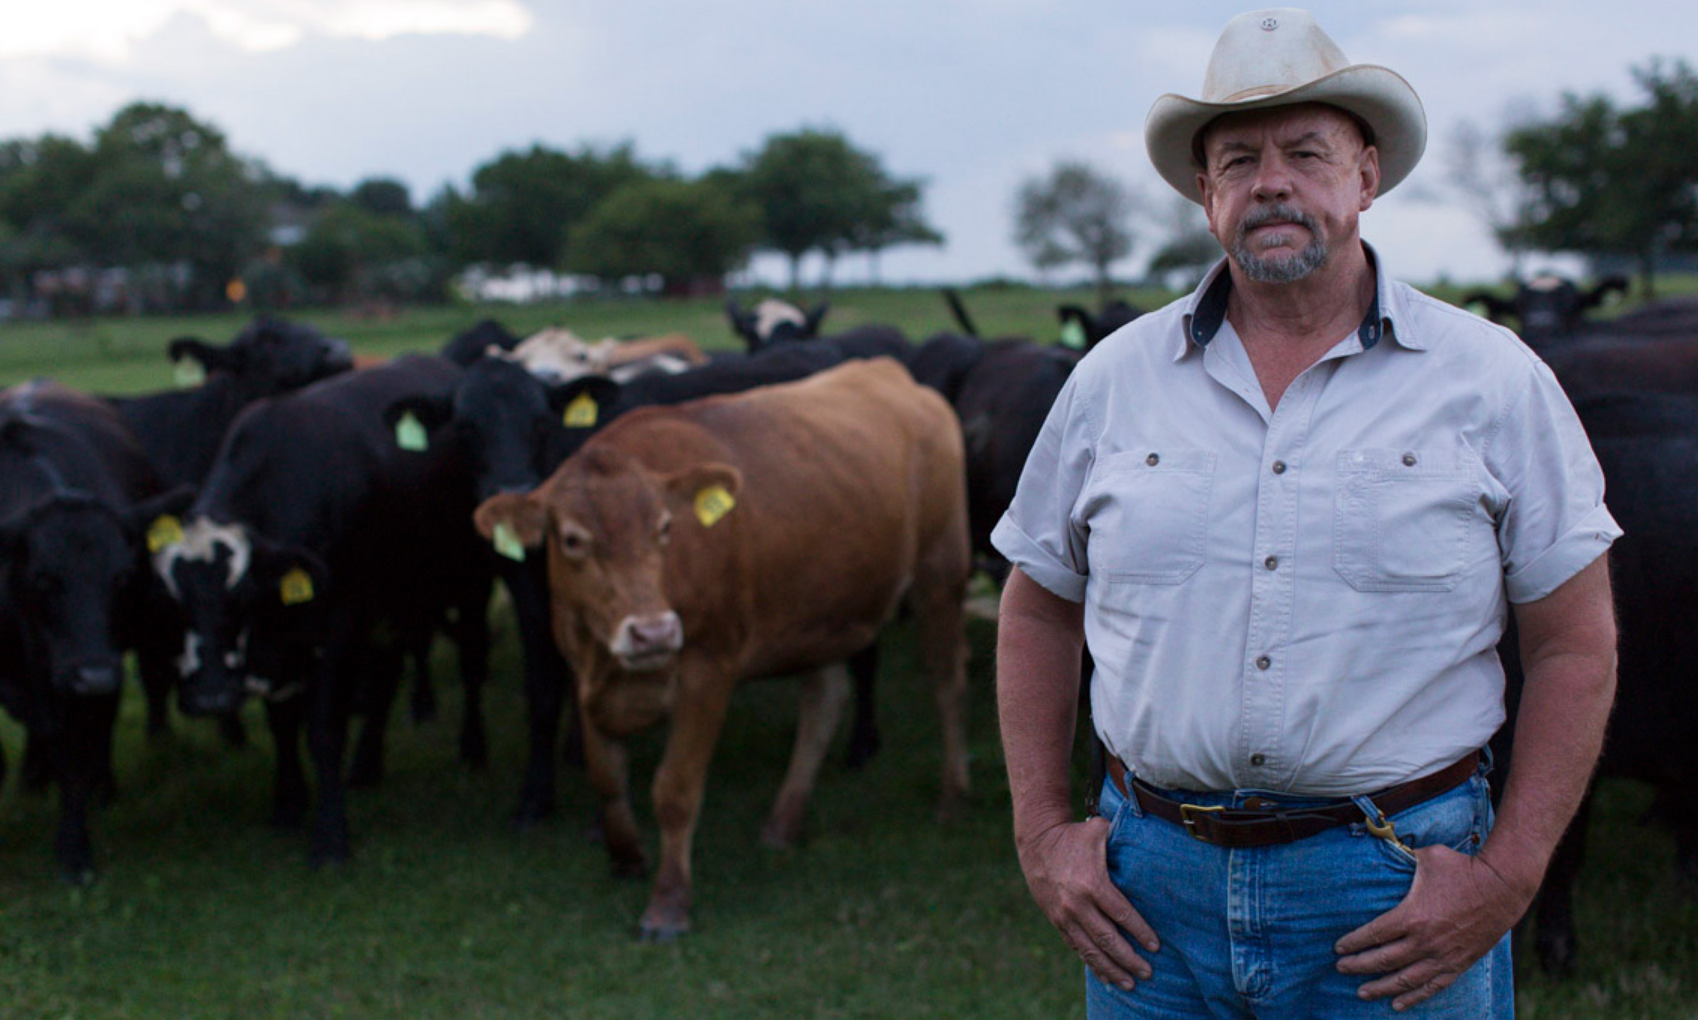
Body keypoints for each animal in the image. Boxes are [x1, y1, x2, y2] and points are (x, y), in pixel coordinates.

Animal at [148, 354, 495, 862]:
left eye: (242, 595)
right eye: (173, 603)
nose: (210, 695)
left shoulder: (338, 628)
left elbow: (323, 727)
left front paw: (331, 837)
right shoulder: (282, 647)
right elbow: (282, 725)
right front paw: (288, 803)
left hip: (467, 585)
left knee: (470, 662)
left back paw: (472, 748)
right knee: (387, 675)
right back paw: (367, 765)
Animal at [475, 358, 971, 936]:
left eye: (665, 527)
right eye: (572, 539)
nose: (653, 632)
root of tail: (891, 373)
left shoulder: (708, 671)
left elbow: (675, 790)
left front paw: (668, 902)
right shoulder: (583, 673)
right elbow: (607, 780)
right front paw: (626, 857)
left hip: (940, 572)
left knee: (947, 682)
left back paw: (952, 797)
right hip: (820, 609)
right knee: (824, 704)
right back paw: (784, 821)